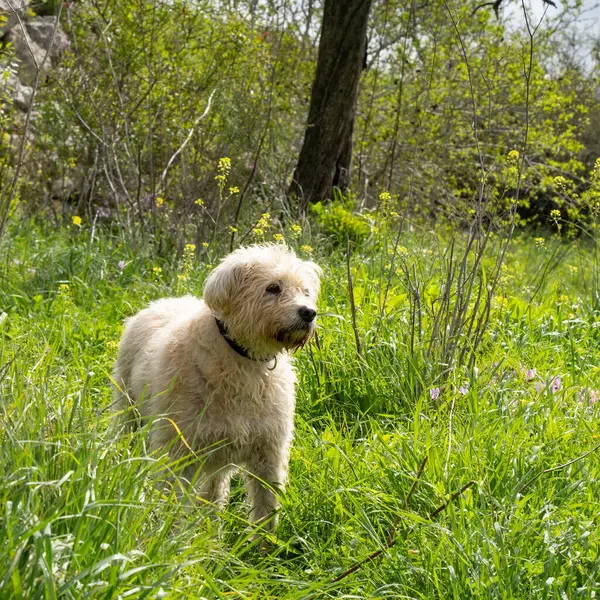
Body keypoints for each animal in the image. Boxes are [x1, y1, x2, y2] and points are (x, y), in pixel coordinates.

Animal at [110, 244, 322, 528]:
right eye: (273, 288)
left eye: (305, 291)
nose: (308, 312)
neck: (242, 359)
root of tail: (159, 302)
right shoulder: (177, 453)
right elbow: (171, 510)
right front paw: (167, 536)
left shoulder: (269, 454)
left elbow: (265, 510)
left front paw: (264, 542)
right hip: (129, 416)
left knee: (213, 495)